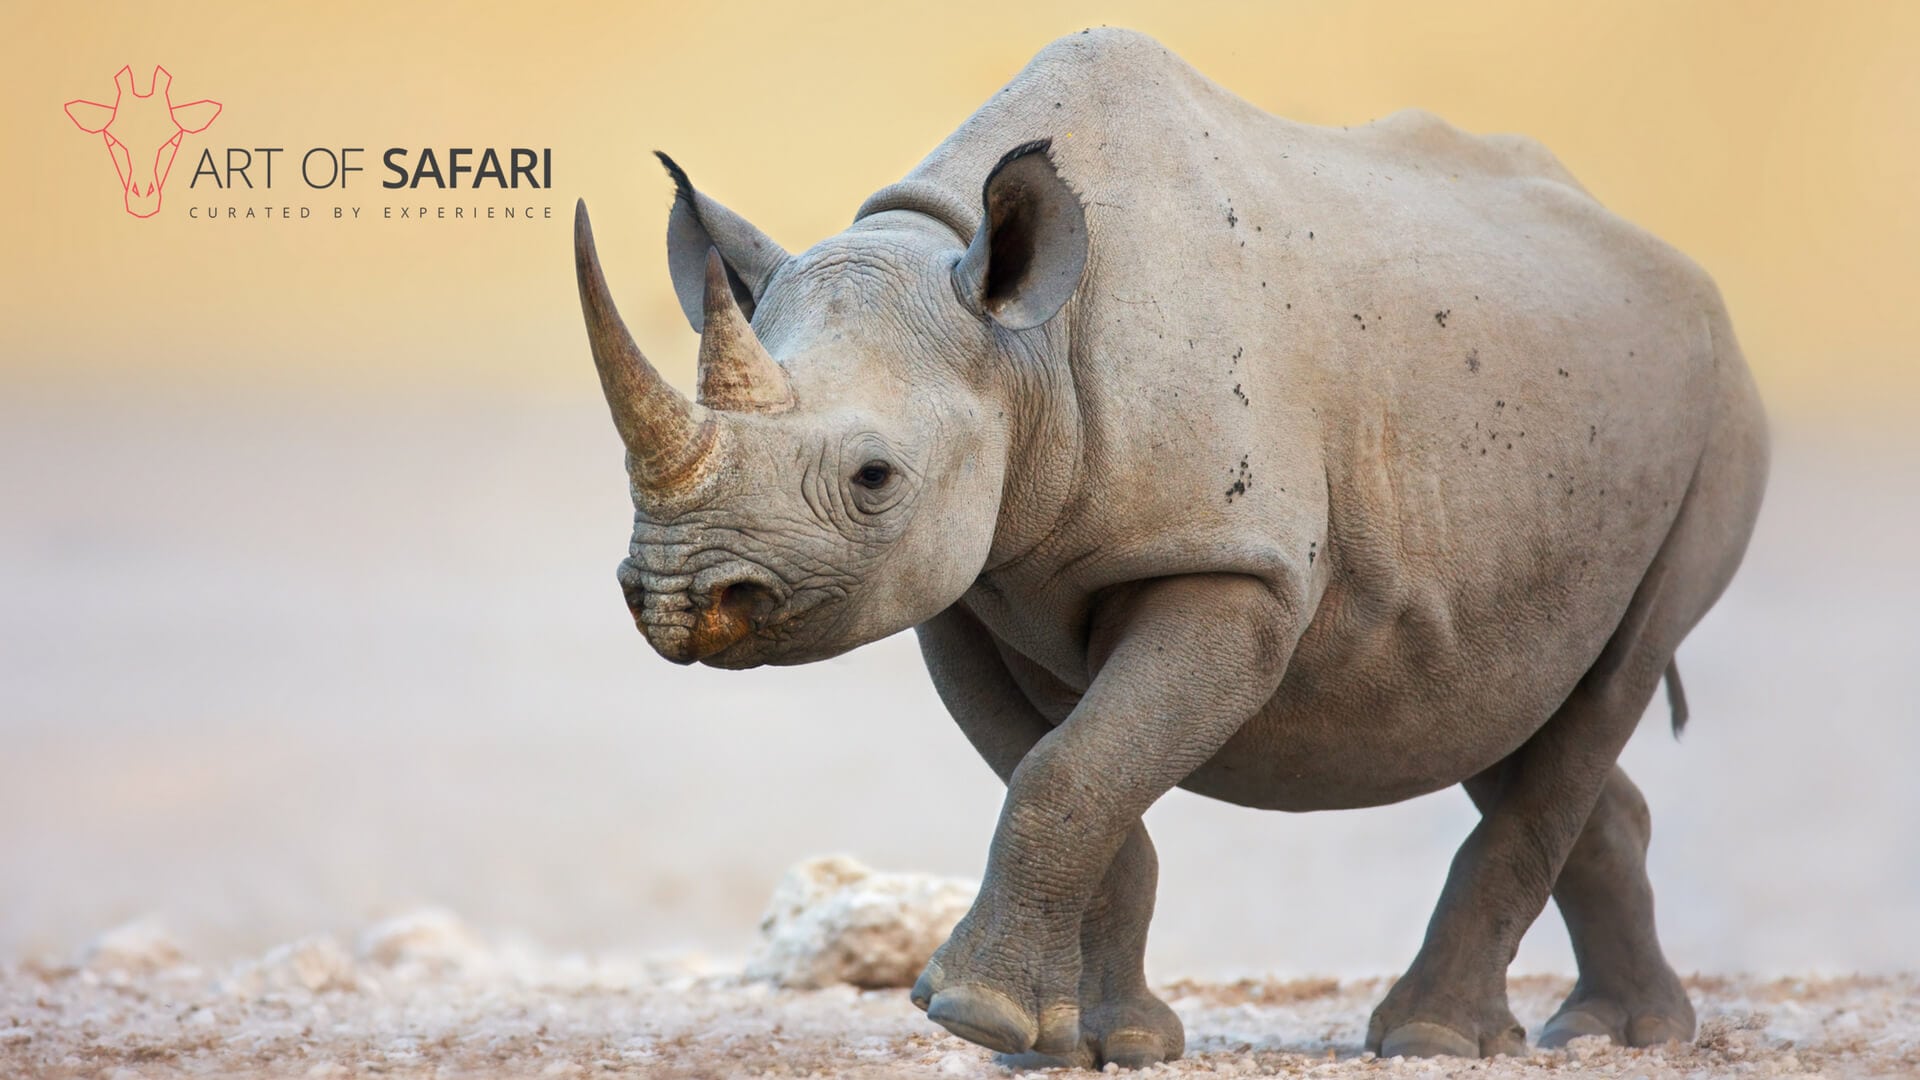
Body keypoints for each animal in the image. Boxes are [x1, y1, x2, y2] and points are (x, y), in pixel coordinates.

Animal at [571, 28, 1768, 1068]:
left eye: (874, 479)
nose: (678, 596)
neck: (1021, 344)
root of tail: (1678, 268)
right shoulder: (966, 588)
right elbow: (1075, 773)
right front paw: (1087, 1044)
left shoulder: (1233, 565)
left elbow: (1072, 769)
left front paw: (971, 1015)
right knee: (1503, 699)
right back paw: (1617, 1032)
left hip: (1716, 415)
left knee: (1611, 675)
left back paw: (1437, 1040)